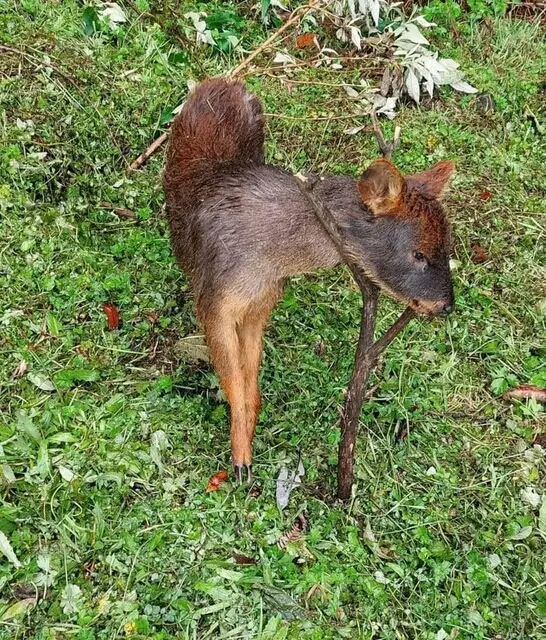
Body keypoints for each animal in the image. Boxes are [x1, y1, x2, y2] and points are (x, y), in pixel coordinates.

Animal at [163, 79, 454, 480]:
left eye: (449, 246)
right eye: (419, 254)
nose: (446, 305)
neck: (269, 261)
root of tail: (223, 81)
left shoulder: (261, 305)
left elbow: (251, 381)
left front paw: (249, 447)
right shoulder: (214, 301)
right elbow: (233, 381)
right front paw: (240, 463)